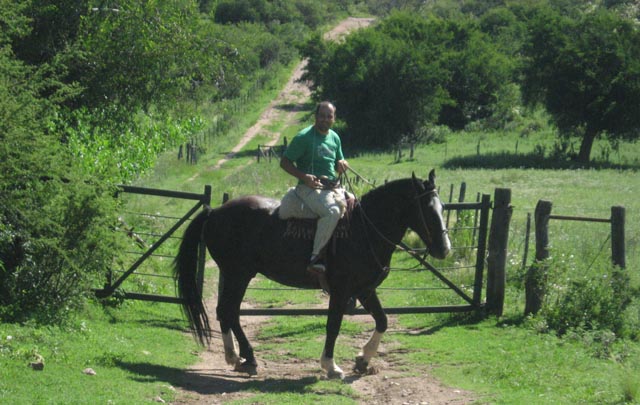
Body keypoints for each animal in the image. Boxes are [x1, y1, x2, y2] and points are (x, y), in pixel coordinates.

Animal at [172, 169, 448, 378]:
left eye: (442, 207)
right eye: (427, 208)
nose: (444, 248)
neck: (363, 229)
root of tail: (215, 212)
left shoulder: (365, 290)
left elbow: (383, 321)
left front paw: (363, 360)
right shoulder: (341, 291)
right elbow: (333, 325)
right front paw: (331, 366)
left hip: (235, 275)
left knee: (227, 312)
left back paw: (237, 358)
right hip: (237, 274)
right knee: (228, 311)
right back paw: (246, 358)